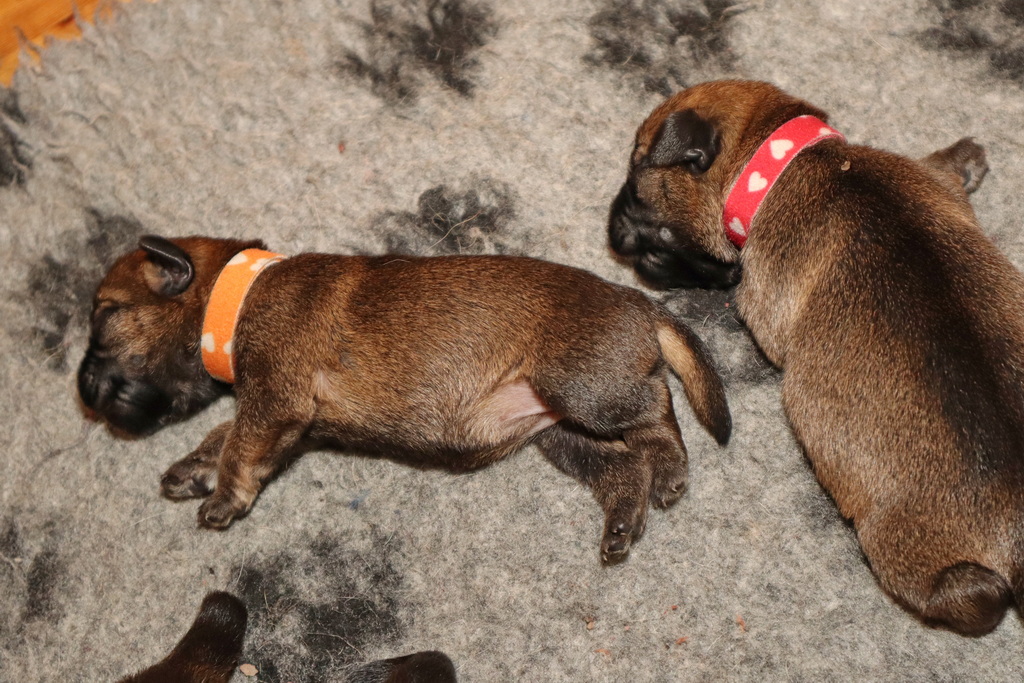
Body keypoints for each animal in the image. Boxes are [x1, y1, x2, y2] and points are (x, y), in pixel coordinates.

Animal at [78, 236, 730, 562]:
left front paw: (222, 496)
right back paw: (622, 523)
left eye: (105, 316)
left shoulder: (276, 400)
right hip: (561, 433)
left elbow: (239, 446)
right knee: (621, 466)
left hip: (587, 389)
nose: (81, 388)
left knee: (657, 408)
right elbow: (223, 435)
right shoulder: (278, 416)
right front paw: (194, 467)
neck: (234, 293)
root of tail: (641, 301)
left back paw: (671, 467)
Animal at [607, 78, 1024, 635]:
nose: (610, 228)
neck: (800, 159)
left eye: (636, 184)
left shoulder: (763, 297)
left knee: (967, 597)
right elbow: (943, 168)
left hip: (896, 544)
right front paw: (967, 157)